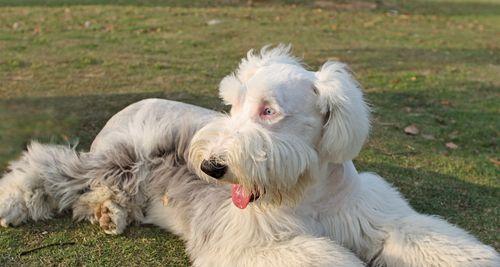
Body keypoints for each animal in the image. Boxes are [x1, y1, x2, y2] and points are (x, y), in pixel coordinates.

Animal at [0, 45, 500, 266]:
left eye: (268, 110)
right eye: (233, 105)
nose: (210, 167)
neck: (307, 197)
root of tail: (129, 105)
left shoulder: (381, 218)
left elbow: (427, 238)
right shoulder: (253, 244)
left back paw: (110, 213)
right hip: (117, 158)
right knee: (46, 167)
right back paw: (14, 201)